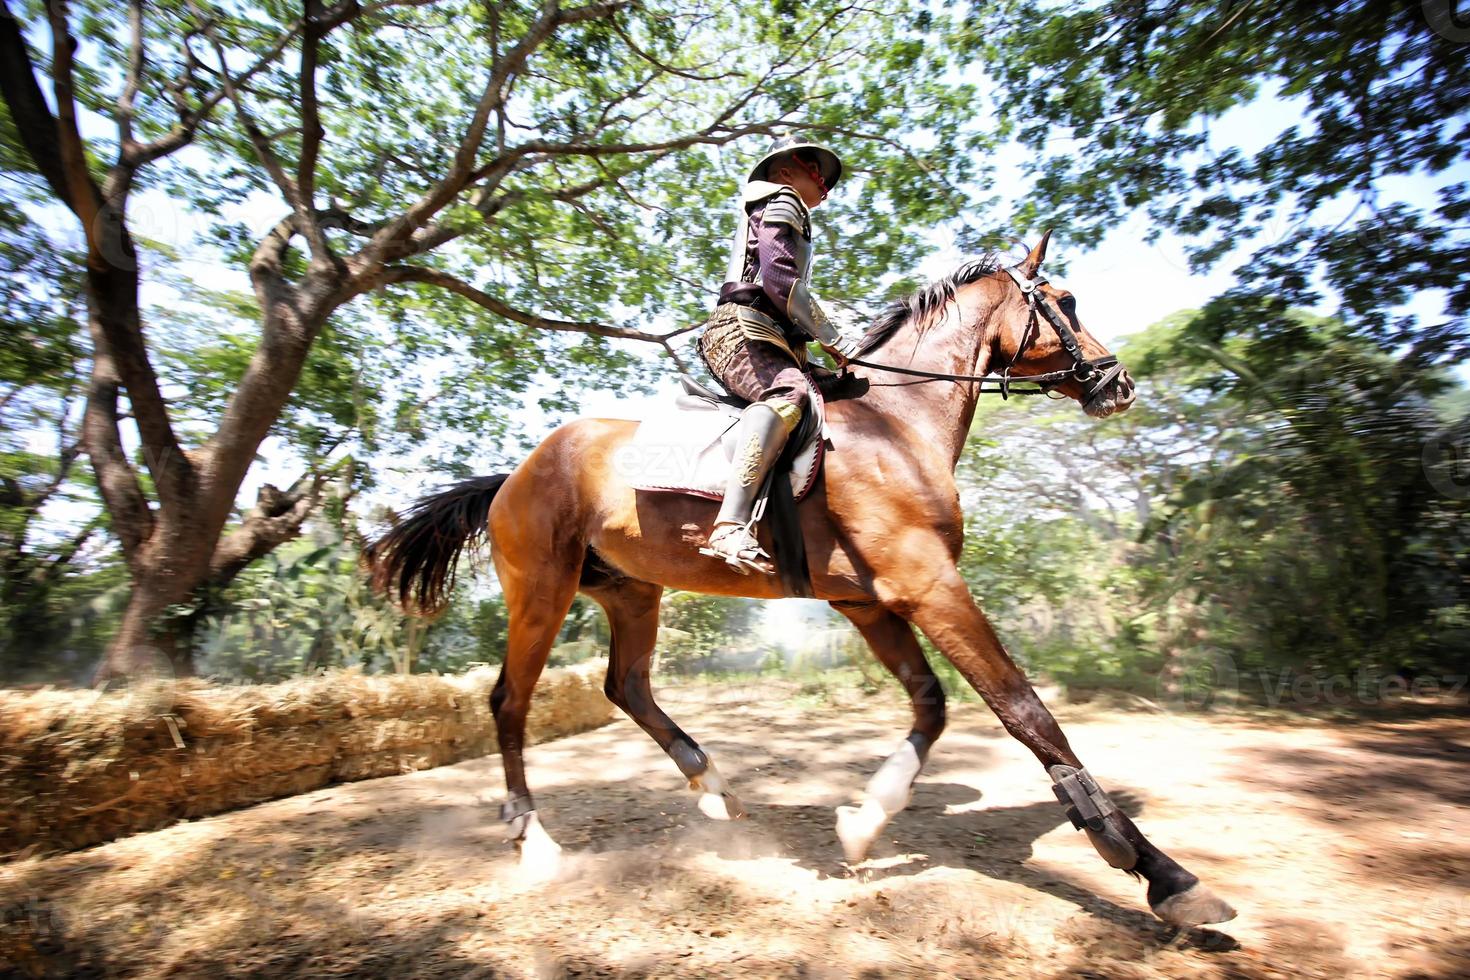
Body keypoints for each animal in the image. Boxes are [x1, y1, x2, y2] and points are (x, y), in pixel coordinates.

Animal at [361, 235, 1234, 928]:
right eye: (1065, 301)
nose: (1118, 382)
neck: (896, 428)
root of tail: (516, 472)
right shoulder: (927, 584)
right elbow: (1025, 712)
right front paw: (1157, 871)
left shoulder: (870, 601)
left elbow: (932, 705)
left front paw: (865, 822)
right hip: (540, 593)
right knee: (510, 701)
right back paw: (536, 840)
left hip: (630, 592)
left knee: (625, 687)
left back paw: (716, 792)